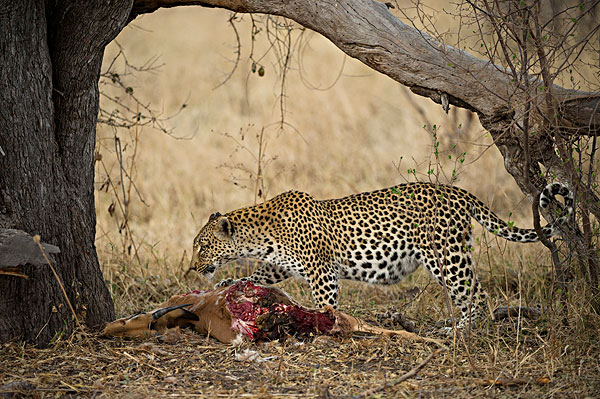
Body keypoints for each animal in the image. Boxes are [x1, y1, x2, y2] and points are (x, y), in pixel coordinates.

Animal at [191, 183, 572, 330]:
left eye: (202, 246)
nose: (193, 267)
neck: (260, 235)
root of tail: (456, 190)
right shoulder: (279, 267)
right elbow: (257, 276)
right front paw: (230, 283)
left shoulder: (321, 272)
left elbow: (326, 304)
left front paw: (326, 325)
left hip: (446, 256)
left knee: (476, 293)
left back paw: (464, 330)